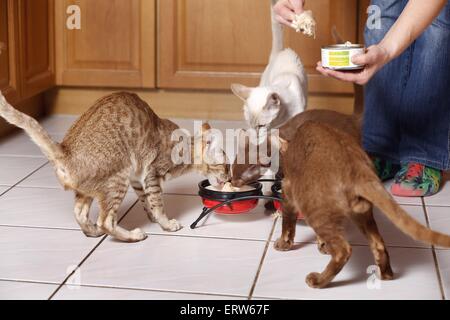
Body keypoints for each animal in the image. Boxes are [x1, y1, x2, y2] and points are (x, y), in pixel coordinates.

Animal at [0, 91, 230, 241]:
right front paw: (166, 223)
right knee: (106, 221)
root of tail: (65, 150)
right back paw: (133, 235)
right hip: (118, 177)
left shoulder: (138, 179)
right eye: (226, 167)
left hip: (93, 189)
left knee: (80, 214)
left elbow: (146, 201)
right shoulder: (152, 174)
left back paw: (92, 231)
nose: (229, 178)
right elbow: (157, 203)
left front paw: (152, 217)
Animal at [276, 121, 450, 288]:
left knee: (343, 251)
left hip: (317, 212)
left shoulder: (287, 191)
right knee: (378, 245)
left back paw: (318, 281)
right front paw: (322, 245)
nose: (278, 174)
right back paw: (386, 275)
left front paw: (283, 244)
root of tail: (359, 169)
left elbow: (287, 224)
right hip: (361, 214)